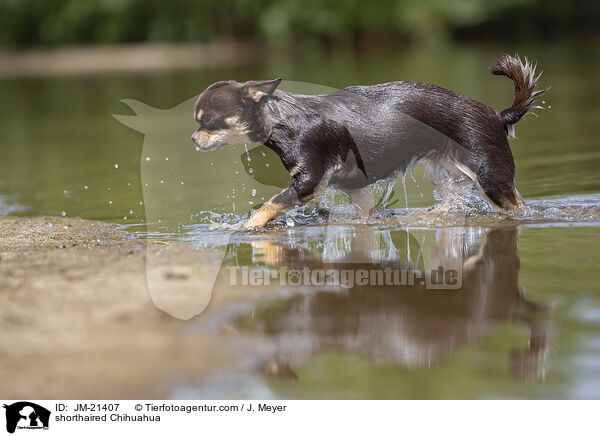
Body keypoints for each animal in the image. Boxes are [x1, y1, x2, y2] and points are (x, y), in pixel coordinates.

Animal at [190, 53, 548, 228]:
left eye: (208, 122)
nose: (193, 138)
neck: (283, 120)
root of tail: (498, 116)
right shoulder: (355, 188)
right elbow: (367, 215)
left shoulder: (309, 183)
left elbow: (270, 205)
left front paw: (243, 228)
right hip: (440, 172)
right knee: (452, 200)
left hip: (491, 178)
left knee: (518, 207)